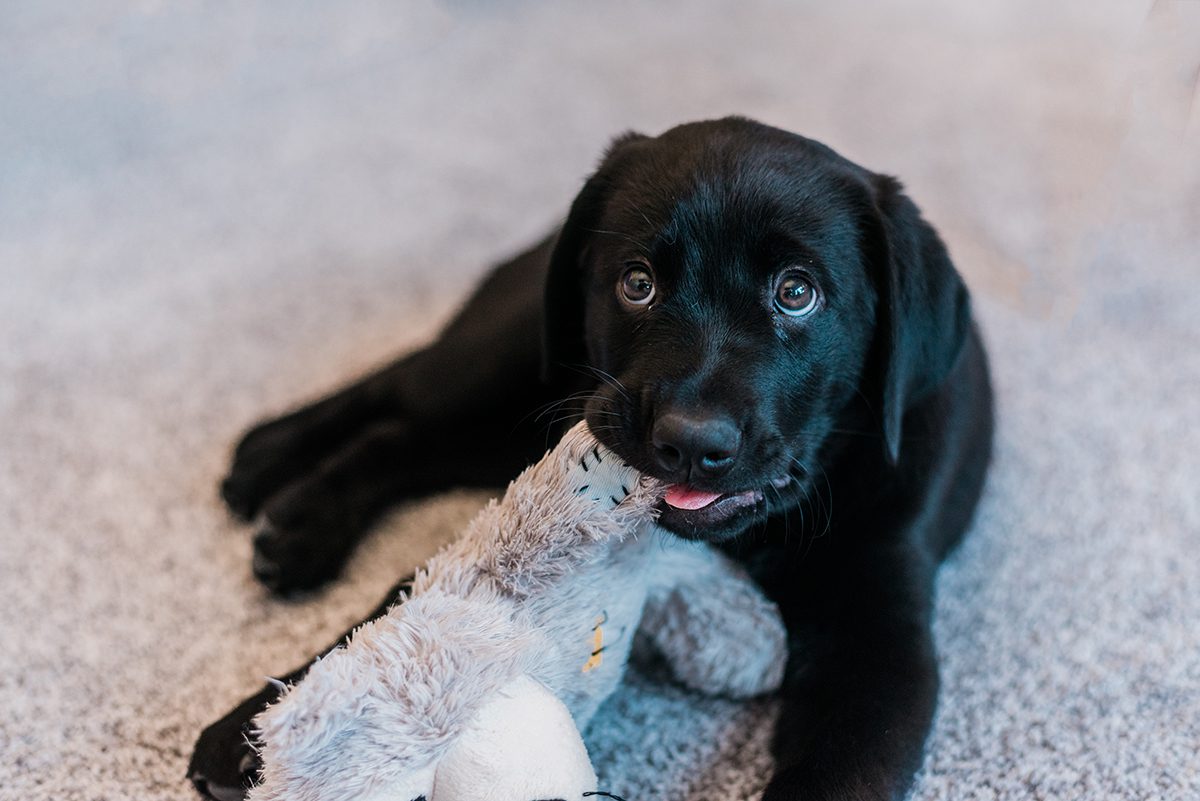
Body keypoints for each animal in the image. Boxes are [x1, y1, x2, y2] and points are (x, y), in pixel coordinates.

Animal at [187, 117, 993, 801]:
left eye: (797, 292)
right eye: (637, 283)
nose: (690, 441)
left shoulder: (879, 631)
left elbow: (840, 774)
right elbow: (408, 605)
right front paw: (258, 727)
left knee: (403, 440)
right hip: (509, 356)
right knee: (399, 392)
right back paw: (272, 474)